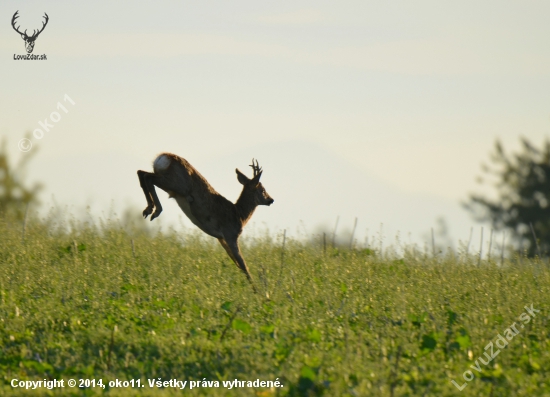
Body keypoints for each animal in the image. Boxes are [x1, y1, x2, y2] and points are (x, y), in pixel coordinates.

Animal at [138, 154, 276, 290]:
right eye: (262, 189)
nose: (271, 199)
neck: (239, 215)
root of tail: (164, 156)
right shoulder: (230, 234)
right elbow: (243, 264)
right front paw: (257, 290)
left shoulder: (221, 238)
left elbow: (237, 263)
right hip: (177, 184)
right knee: (148, 177)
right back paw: (155, 210)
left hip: (171, 184)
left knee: (141, 172)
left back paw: (149, 209)